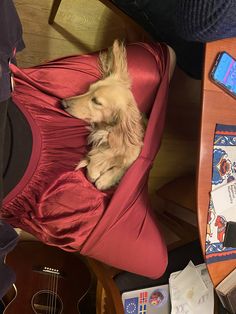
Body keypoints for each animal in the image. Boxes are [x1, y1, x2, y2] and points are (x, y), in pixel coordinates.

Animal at [61, 40, 145, 190]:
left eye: (96, 101)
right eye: (88, 89)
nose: (63, 103)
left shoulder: (135, 149)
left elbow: (123, 163)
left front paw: (106, 179)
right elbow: (96, 159)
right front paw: (95, 169)